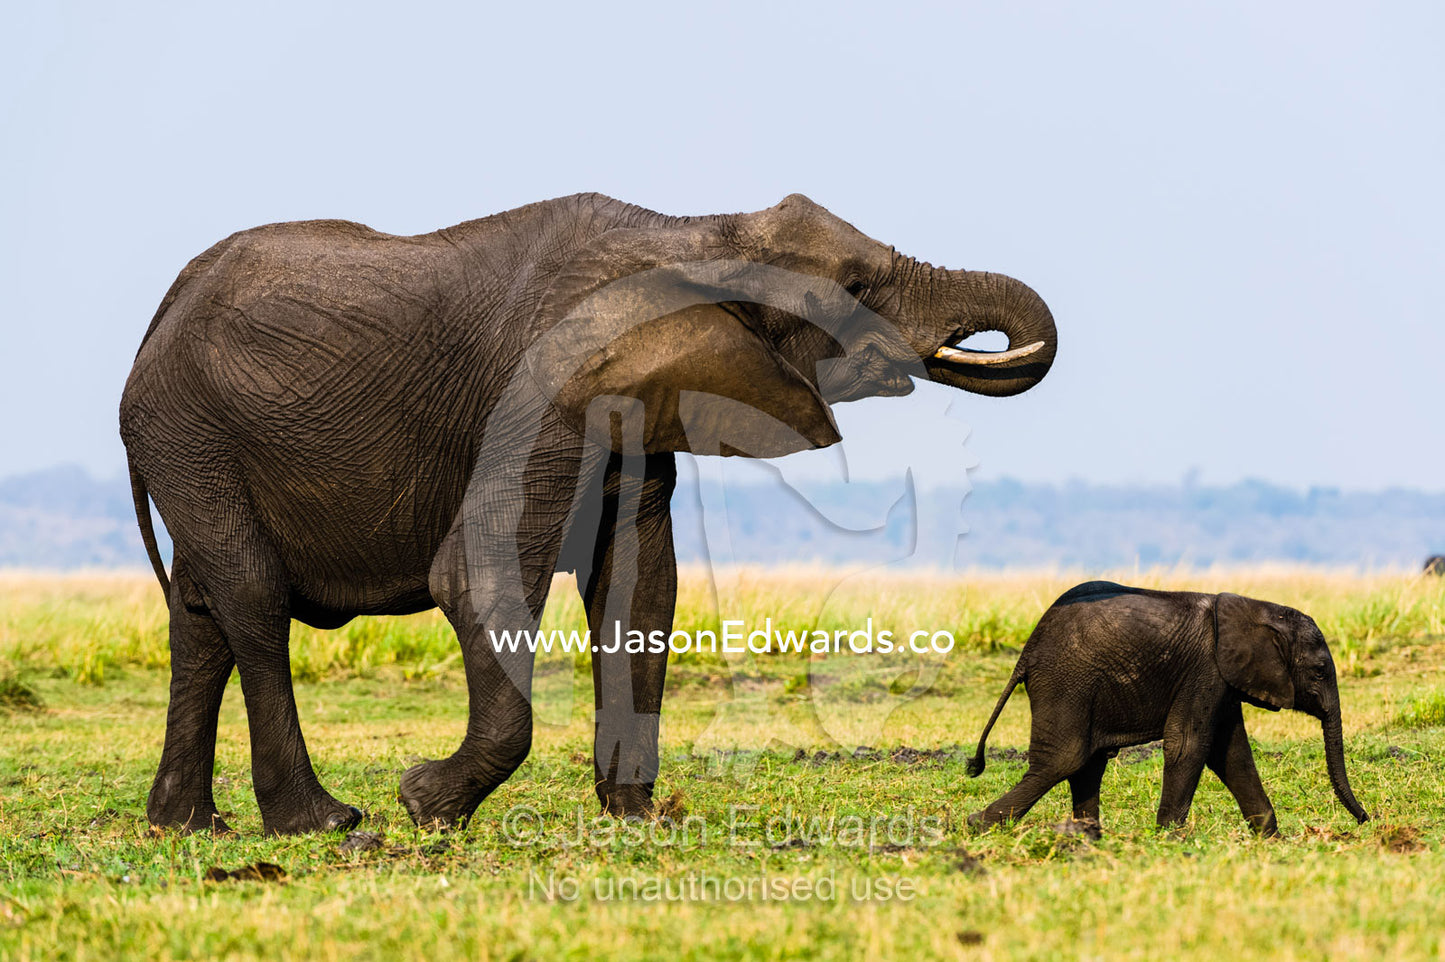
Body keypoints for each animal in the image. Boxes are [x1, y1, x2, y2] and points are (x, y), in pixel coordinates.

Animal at [119, 192, 1058, 835]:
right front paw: (425, 803)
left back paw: (187, 826)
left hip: (191, 442)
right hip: (187, 429)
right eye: (854, 285)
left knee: (200, 615)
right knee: (252, 600)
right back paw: (322, 823)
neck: (695, 233)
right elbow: (473, 572)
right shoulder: (541, 391)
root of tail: (164, 307)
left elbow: (640, 588)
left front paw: (636, 818)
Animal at [966, 581, 1369, 837]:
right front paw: (1168, 839)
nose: (1367, 820)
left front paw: (1269, 839)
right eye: (1319, 670)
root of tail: (1028, 650)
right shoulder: (1205, 669)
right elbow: (1188, 745)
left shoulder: (1224, 678)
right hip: (1066, 680)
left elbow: (1232, 753)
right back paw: (978, 827)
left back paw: (1087, 841)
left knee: (1087, 763)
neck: (1257, 608)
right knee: (1065, 759)